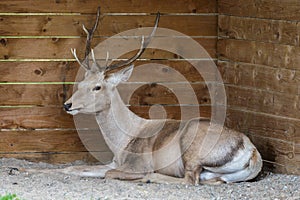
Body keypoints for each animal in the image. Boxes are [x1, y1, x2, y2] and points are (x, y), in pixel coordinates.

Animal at [59, 7, 262, 186]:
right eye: (81, 83)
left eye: (97, 87)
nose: (68, 105)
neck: (122, 143)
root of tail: (252, 153)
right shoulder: (114, 162)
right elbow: (71, 169)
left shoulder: (137, 164)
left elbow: (110, 173)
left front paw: (144, 175)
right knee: (214, 180)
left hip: (193, 144)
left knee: (190, 180)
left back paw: (151, 177)